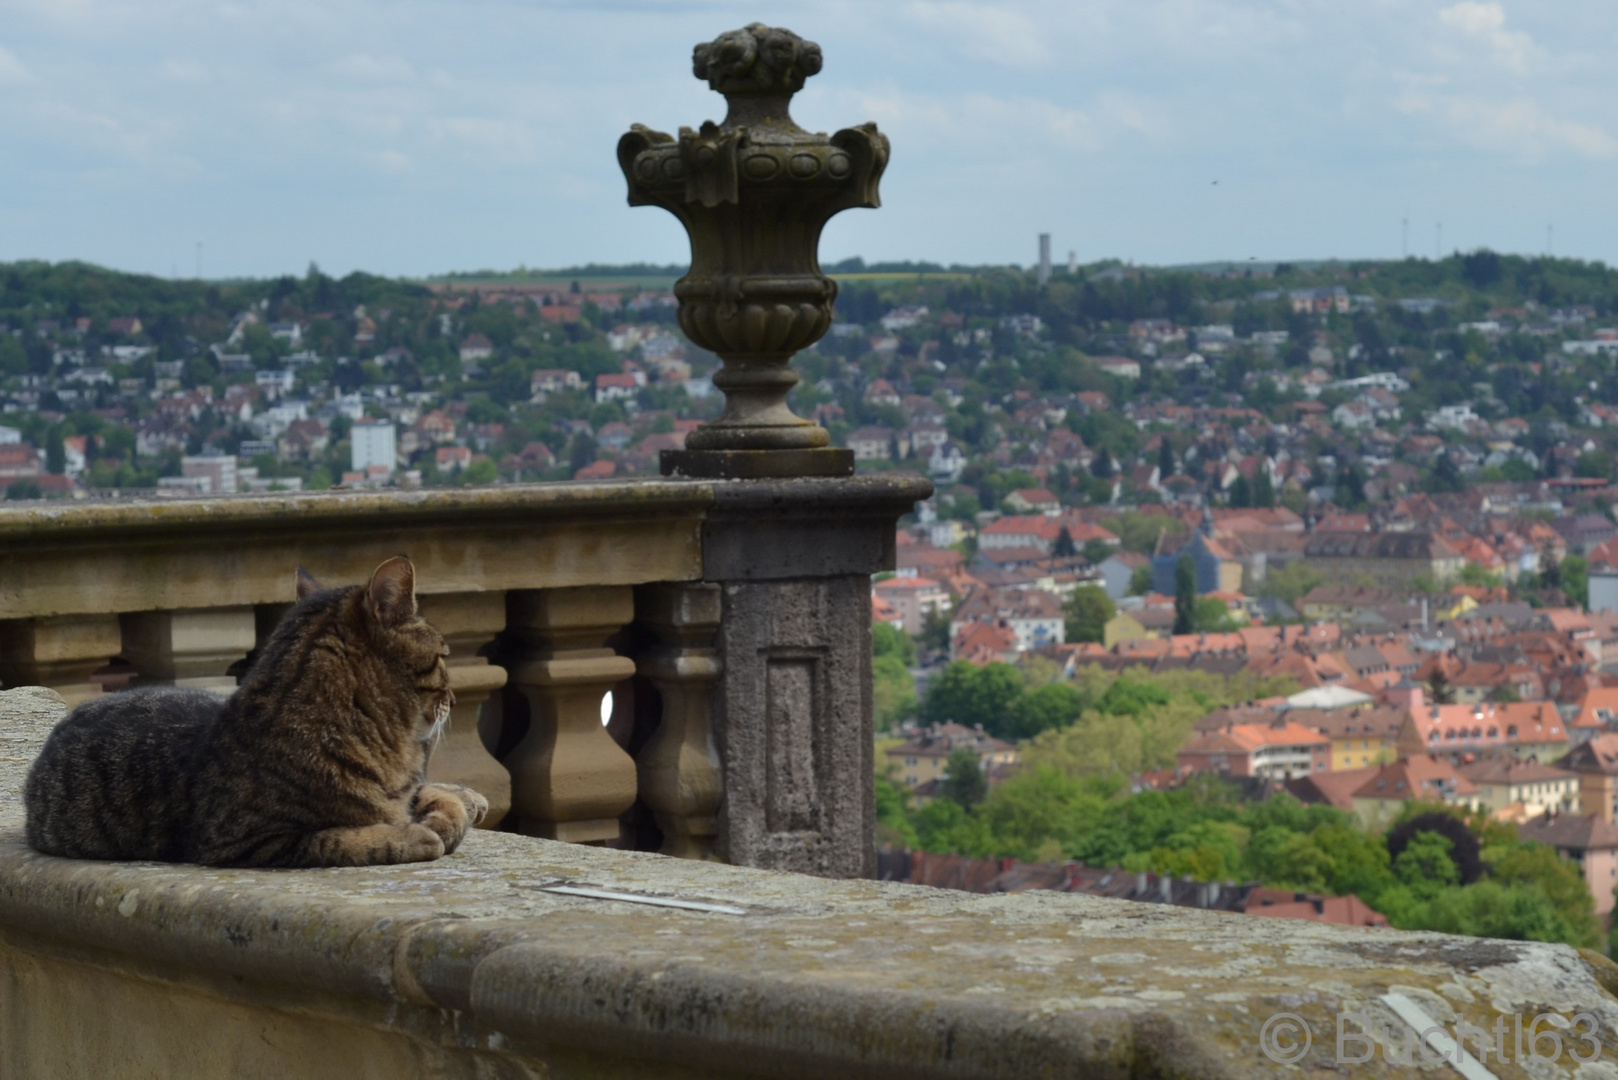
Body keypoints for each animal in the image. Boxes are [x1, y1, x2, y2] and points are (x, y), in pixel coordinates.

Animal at [22, 557, 485, 867]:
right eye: (443, 657)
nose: (454, 698)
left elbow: (428, 797)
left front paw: (449, 810)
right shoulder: (250, 840)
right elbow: (338, 840)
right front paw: (417, 835)